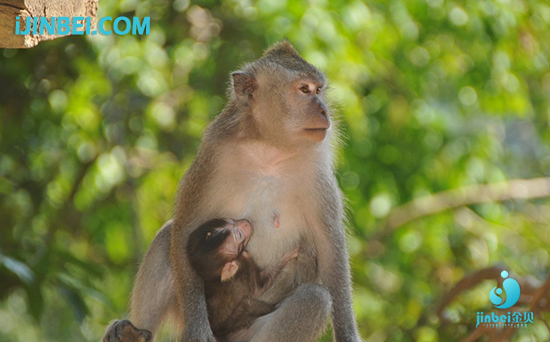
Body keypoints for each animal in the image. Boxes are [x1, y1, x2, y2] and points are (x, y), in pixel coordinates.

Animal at [103, 42, 362, 342]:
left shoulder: (317, 173)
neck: (268, 149)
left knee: (313, 299)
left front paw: (347, 334)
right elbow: (183, 230)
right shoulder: (213, 155)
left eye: (318, 90)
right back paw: (133, 330)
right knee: (167, 236)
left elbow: (331, 248)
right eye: (304, 90)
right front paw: (197, 330)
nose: (323, 111)